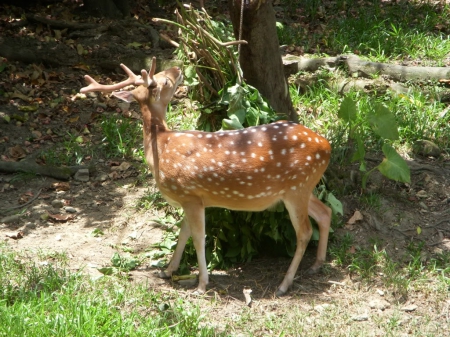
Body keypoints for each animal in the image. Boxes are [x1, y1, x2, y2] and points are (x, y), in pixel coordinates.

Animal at [81, 57, 332, 296]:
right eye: (165, 81)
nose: (177, 69)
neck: (161, 146)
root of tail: (326, 146)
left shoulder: (190, 195)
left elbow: (199, 239)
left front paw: (201, 285)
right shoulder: (189, 199)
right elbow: (184, 233)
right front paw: (168, 271)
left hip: (296, 187)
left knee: (305, 232)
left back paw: (284, 285)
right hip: (301, 188)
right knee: (325, 212)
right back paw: (316, 265)